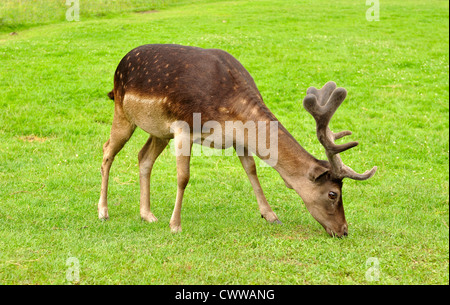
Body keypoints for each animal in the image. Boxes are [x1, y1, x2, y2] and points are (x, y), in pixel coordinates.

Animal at [98, 44, 376, 236]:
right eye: (333, 194)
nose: (344, 230)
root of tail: (117, 69)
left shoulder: (239, 140)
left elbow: (252, 170)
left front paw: (271, 215)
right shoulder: (183, 128)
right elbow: (183, 177)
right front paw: (175, 225)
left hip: (158, 131)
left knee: (143, 157)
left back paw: (147, 214)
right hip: (123, 112)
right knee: (107, 150)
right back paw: (103, 211)